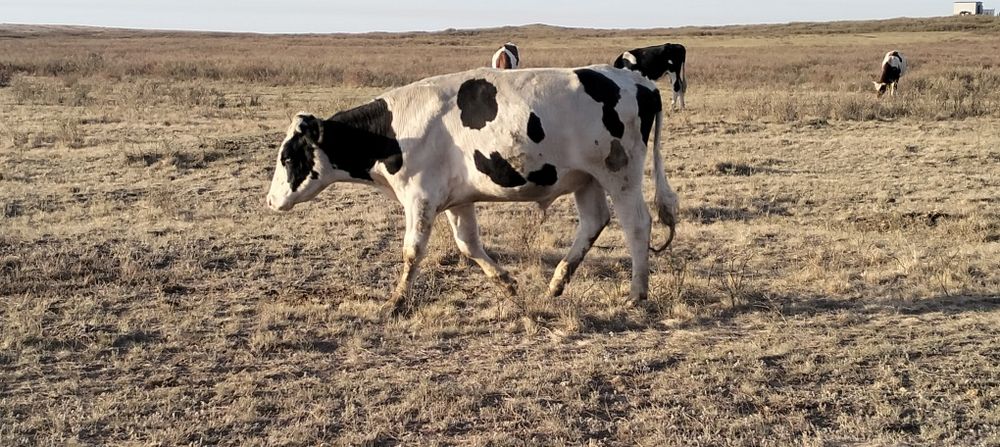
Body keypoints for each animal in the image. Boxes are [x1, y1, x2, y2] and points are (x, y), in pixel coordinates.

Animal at [266, 65, 680, 311]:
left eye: (287, 157)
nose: (270, 200)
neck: (395, 130)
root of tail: (639, 82)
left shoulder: (420, 197)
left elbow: (412, 251)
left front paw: (397, 300)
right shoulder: (455, 200)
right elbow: (468, 244)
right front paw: (507, 283)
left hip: (619, 175)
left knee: (636, 225)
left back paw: (637, 293)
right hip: (586, 179)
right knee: (594, 222)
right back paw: (556, 284)